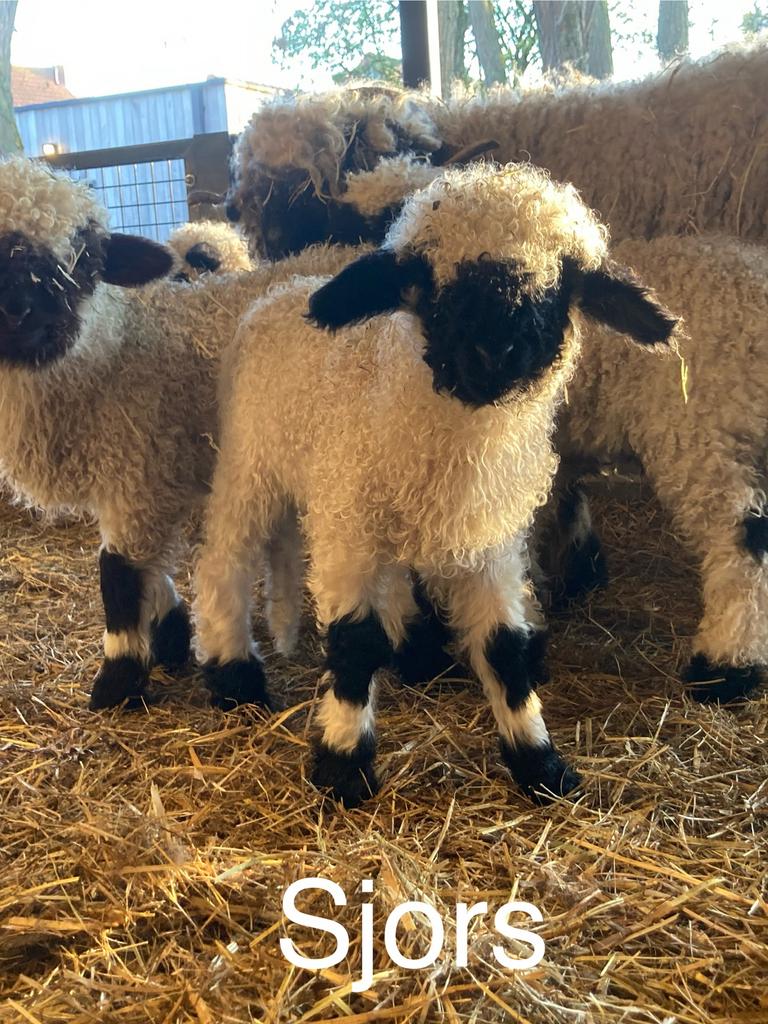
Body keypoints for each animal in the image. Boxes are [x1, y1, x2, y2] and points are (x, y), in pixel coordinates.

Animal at [0, 156, 359, 712]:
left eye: (88, 259)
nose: (20, 312)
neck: (112, 349)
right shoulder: (138, 477)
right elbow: (146, 568)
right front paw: (168, 635)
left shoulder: (138, 468)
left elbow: (118, 572)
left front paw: (120, 677)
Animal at [193, 162, 678, 807]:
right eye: (428, 284)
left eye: (564, 283)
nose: (496, 350)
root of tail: (281, 289)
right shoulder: (348, 527)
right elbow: (355, 641)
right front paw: (344, 764)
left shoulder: (490, 541)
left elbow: (504, 648)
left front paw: (540, 762)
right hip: (253, 465)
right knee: (226, 559)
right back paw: (235, 678)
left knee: (397, 584)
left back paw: (419, 656)